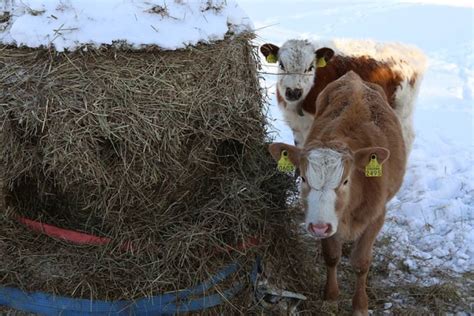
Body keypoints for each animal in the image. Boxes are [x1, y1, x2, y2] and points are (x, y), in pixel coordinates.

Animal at [262, 39, 428, 153]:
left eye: (310, 67)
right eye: (281, 65)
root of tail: (412, 51)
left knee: (407, 137)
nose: (293, 91)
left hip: (402, 110)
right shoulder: (296, 126)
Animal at [268, 71, 406, 316]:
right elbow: (331, 256)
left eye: (346, 181)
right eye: (304, 179)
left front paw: (360, 305)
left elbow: (361, 263)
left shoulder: (376, 217)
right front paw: (331, 296)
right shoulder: (326, 220)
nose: (318, 228)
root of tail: (354, 78)